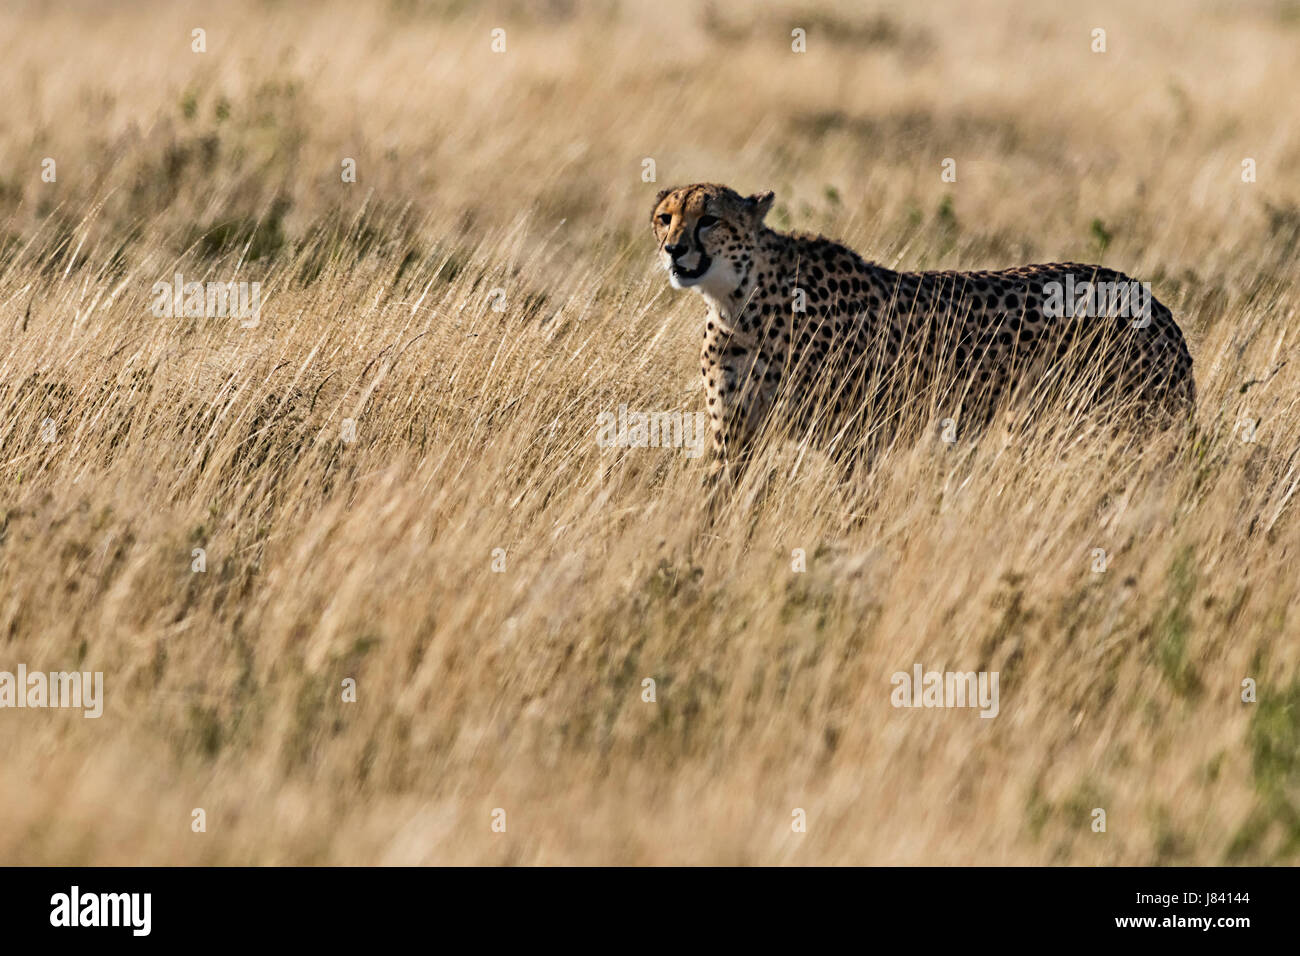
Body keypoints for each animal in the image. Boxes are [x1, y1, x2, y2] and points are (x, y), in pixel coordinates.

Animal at [650, 182, 1196, 481]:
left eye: (710, 219)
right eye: (665, 218)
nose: (674, 249)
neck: (739, 301)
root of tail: (1148, 296)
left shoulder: (857, 437)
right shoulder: (732, 439)